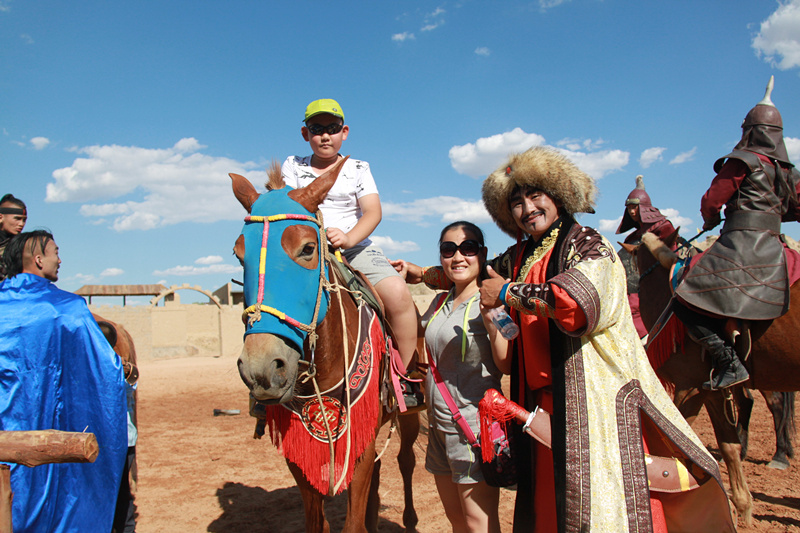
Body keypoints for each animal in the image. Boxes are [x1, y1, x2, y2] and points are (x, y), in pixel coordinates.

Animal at [230, 158, 418, 532]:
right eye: (238, 253)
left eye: (307, 248)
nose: (262, 368)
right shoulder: (299, 447)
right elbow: (317, 519)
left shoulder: (358, 442)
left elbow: (353, 521)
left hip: (411, 414)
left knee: (406, 460)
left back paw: (410, 518)